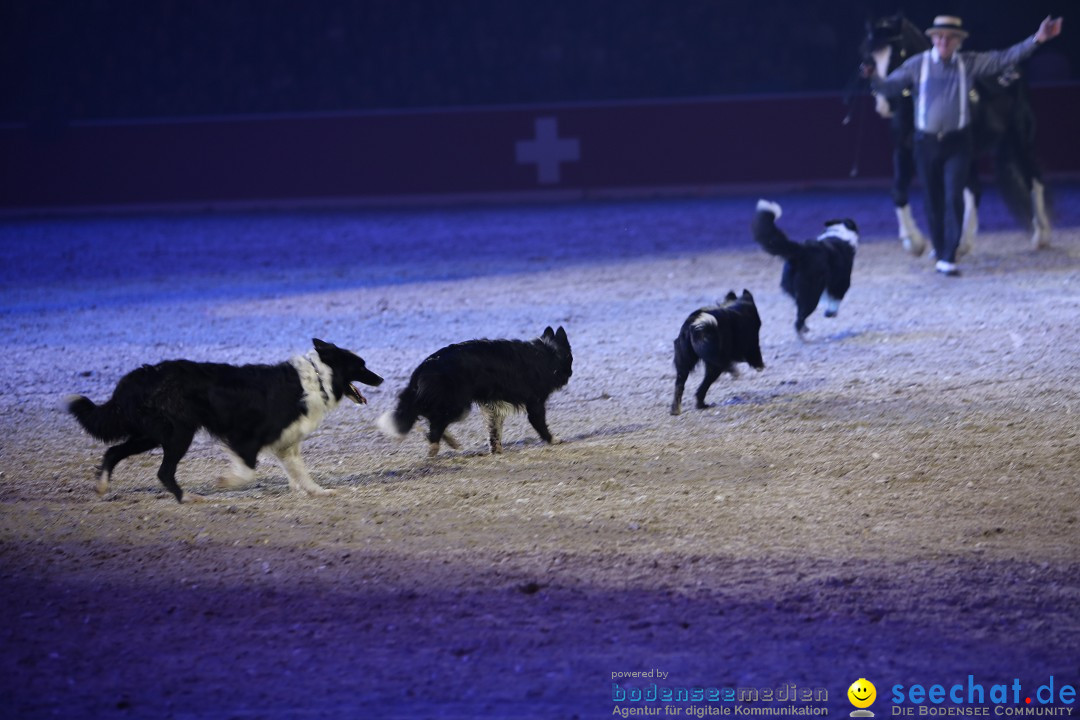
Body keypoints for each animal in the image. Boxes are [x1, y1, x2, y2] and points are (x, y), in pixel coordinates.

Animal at [67, 341, 384, 505]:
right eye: (361, 365)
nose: (381, 378)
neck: (317, 378)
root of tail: (137, 377)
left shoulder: (285, 443)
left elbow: (301, 473)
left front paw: (318, 491)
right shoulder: (247, 438)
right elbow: (248, 470)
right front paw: (226, 481)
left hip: (152, 435)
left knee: (112, 452)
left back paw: (102, 487)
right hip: (178, 434)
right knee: (163, 472)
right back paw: (187, 498)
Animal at [380, 325, 574, 455]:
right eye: (571, 360)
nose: (571, 373)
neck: (547, 354)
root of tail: (424, 366)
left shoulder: (494, 407)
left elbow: (494, 431)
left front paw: (496, 450)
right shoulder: (535, 404)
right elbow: (540, 424)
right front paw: (552, 439)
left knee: (427, 418)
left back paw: (449, 441)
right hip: (457, 405)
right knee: (434, 423)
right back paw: (436, 446)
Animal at [756, 199, 855, 338]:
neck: (839, 232)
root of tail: (801, 251)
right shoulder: (841, 281)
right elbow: (836, 298)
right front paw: (831, 312)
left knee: (799, 312)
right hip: (810, 292)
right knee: (800, 318)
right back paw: (803, 334)